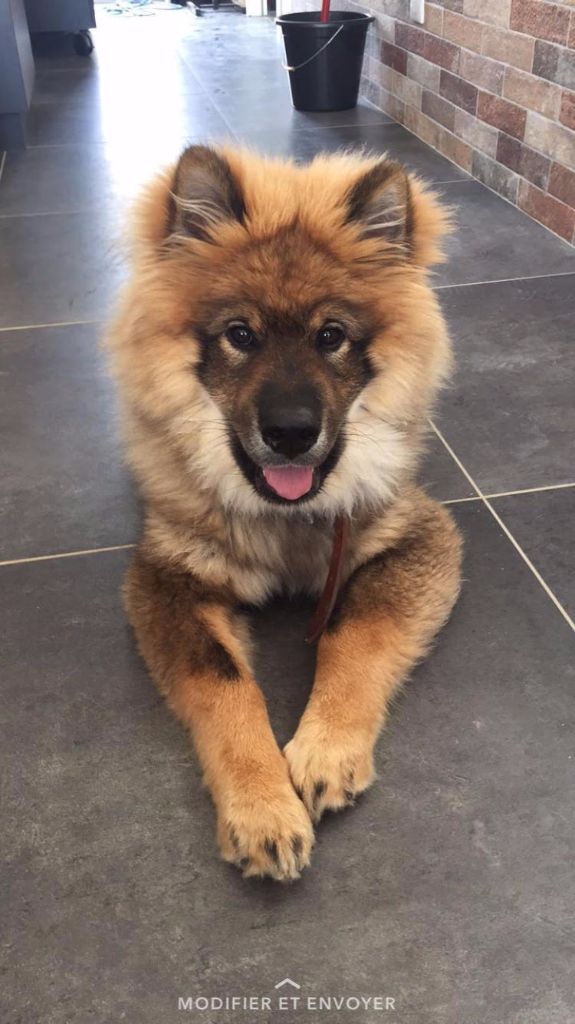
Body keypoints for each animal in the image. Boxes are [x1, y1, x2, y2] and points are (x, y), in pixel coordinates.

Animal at [107, 144, 462, 881]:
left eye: (331, 336)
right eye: (240, 334)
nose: (293, 433)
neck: (286, 520)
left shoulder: (416, 536)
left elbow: (355, 634)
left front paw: (326, 750)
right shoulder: (169, 577)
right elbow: (226, 686)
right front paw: (262, 808)